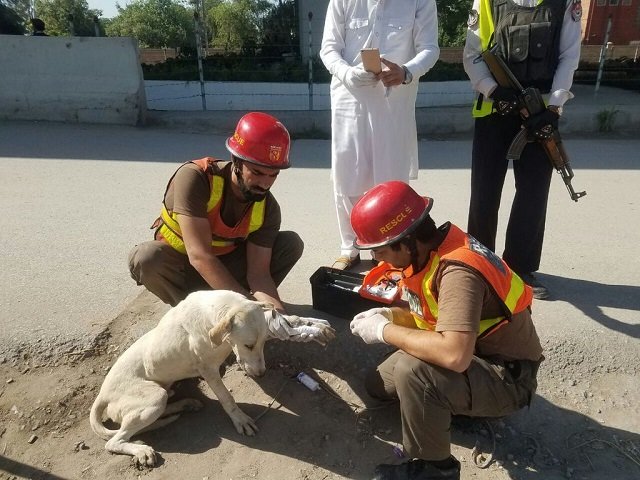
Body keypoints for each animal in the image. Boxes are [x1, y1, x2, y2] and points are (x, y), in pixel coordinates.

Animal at [89, 290, 336, 466]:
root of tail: (102, 394)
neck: (214, 316)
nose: (262, 374)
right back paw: (141, 449)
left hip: (158, 396)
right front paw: (240, 419)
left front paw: (308, 324)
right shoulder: (208, 370)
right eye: (248, 345)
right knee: (114, 441)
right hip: (153, 397)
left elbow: (285, 323)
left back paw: (186, 404)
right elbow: (227, 399)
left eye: (263, 342)